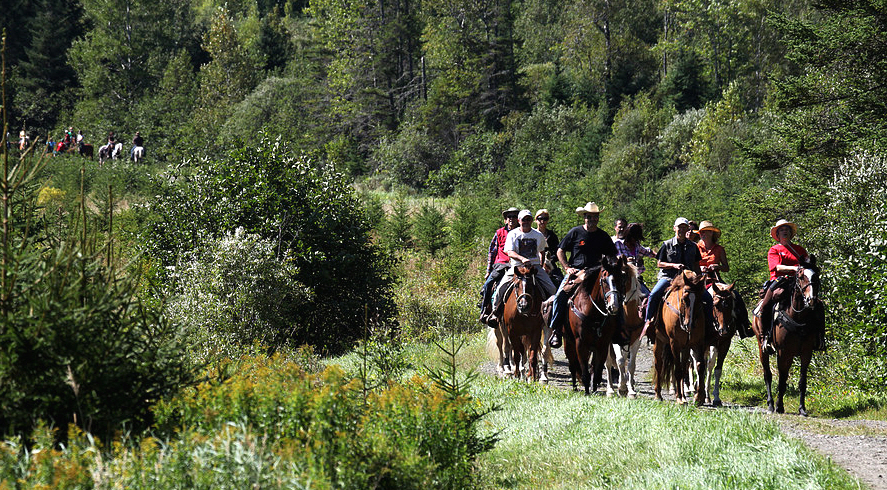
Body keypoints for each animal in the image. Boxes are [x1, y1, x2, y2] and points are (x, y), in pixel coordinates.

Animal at [568, 256, 632, 394]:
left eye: (621, 279)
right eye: (604, 280)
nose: (614, 306)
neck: (593, 313)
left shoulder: (603, 344)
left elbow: (597, 371)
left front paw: (594, 390)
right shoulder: (580, 343)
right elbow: (584, 369)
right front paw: (587, 391)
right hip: (569, 342)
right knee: (573, 364)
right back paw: (575, 387)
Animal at [652, 270, 708, 404]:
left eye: (699, 300)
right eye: (684, 299)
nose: (689, 324)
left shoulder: (698, 342)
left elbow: (700, 366)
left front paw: (699, 397)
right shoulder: (674, 343)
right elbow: (677, 370)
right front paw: (679, 399)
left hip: (686, 347)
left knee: (684, 368)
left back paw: (683, 394)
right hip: (659, 340)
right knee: (659, 364)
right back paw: (658, 394)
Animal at [752, 256, 828, 414]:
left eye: (816, 276)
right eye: (801, 276)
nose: (811, 300)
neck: (797, 317)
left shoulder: (806, 352)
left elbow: (802, 381)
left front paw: (802, 409)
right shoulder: (783, 352)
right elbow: (782, 379)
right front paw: (779, 406)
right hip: (762, 347)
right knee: (767, 375)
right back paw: (770, 404)